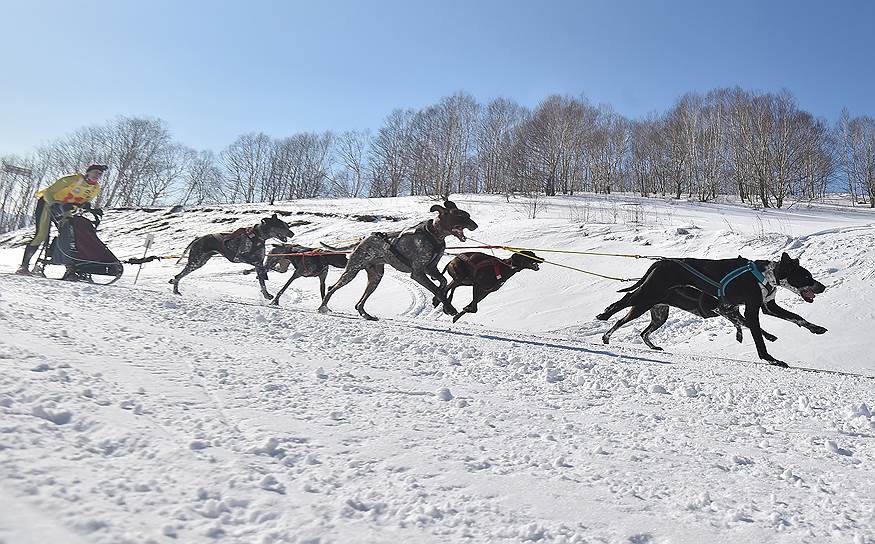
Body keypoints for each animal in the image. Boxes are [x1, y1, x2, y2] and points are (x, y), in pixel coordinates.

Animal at [318, 201, 480, 320]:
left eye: (467, 215)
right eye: (461, 216)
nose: (475, 225)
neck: (434, 234)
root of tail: (361, 241)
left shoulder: (431, 268)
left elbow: (443, 283)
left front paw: (438, 301)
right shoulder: (418, 273)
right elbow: (437, 289)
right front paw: (449, 307)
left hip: (375, 278)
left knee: (359, 303)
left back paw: (366, 315)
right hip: (351, 272)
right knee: (332, 288)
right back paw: (322, 307)